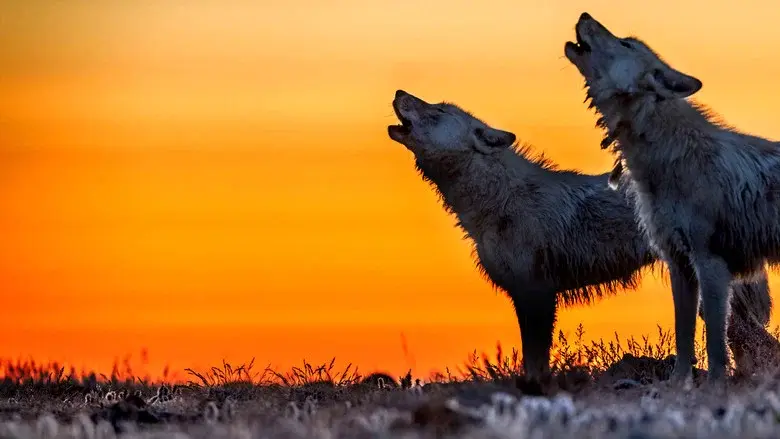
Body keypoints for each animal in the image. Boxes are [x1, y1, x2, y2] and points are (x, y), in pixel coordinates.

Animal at [386, 89, 776, 384]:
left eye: (436, 110)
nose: (399, 92)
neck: (500, 202)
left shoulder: (537, 294)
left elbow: (535, 361)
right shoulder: (527, 296)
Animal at [564, 12, 780, 385]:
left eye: (626, 43)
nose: (584, 15)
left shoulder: (711, 264)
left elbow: (714, 343)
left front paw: (714, 387)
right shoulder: (680, 265)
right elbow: (683, 337)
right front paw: (679, 386)